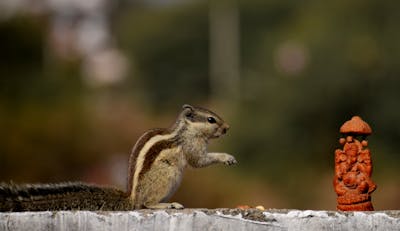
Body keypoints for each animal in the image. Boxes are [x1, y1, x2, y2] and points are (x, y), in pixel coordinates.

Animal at [0, 104, 236, 211]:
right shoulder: (191, 147)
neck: (187, 131)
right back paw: (167, 205)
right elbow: (199, 161)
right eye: (211, 119)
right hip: (166, 175)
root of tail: (131, 197)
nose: (227, 128)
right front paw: (226, 156)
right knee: (146, 204)